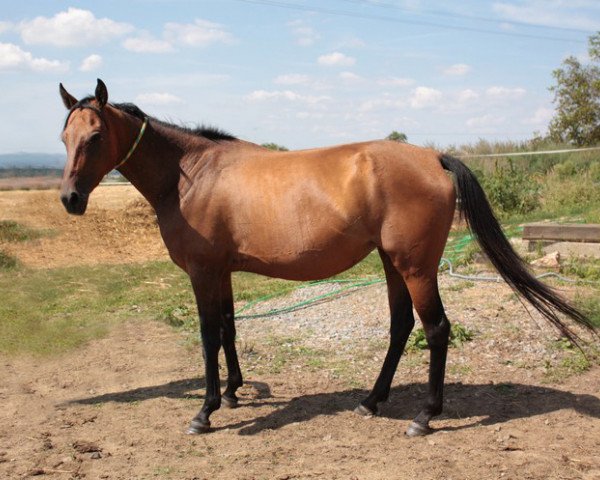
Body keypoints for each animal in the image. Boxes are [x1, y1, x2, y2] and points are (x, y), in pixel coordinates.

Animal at [57, 78, 596, 436]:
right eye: (65, 137)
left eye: (96, 137)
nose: (70, 199)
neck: (192, 174)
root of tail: (432, 158)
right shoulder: (222, 272)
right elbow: (229, 330)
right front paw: (232, 393)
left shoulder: (203, 273)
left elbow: (209, 337)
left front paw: (204, 411)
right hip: (392, 263)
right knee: (401, 327)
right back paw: (371, 401)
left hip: (416, 267)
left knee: (436, 329)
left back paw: (425, 417)